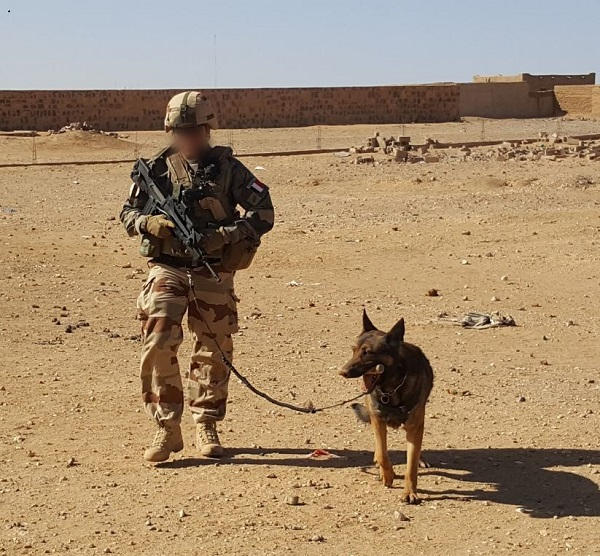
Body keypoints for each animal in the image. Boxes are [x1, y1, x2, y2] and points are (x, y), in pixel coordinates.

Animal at [340, 308, 434, 504]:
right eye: (353, 350)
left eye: (367, 352)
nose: (342, 372)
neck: (391, 389)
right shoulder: (378, 419)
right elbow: (383, 453)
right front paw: (387, 474)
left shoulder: (414, 426)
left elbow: (411, 465)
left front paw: (410, 492)